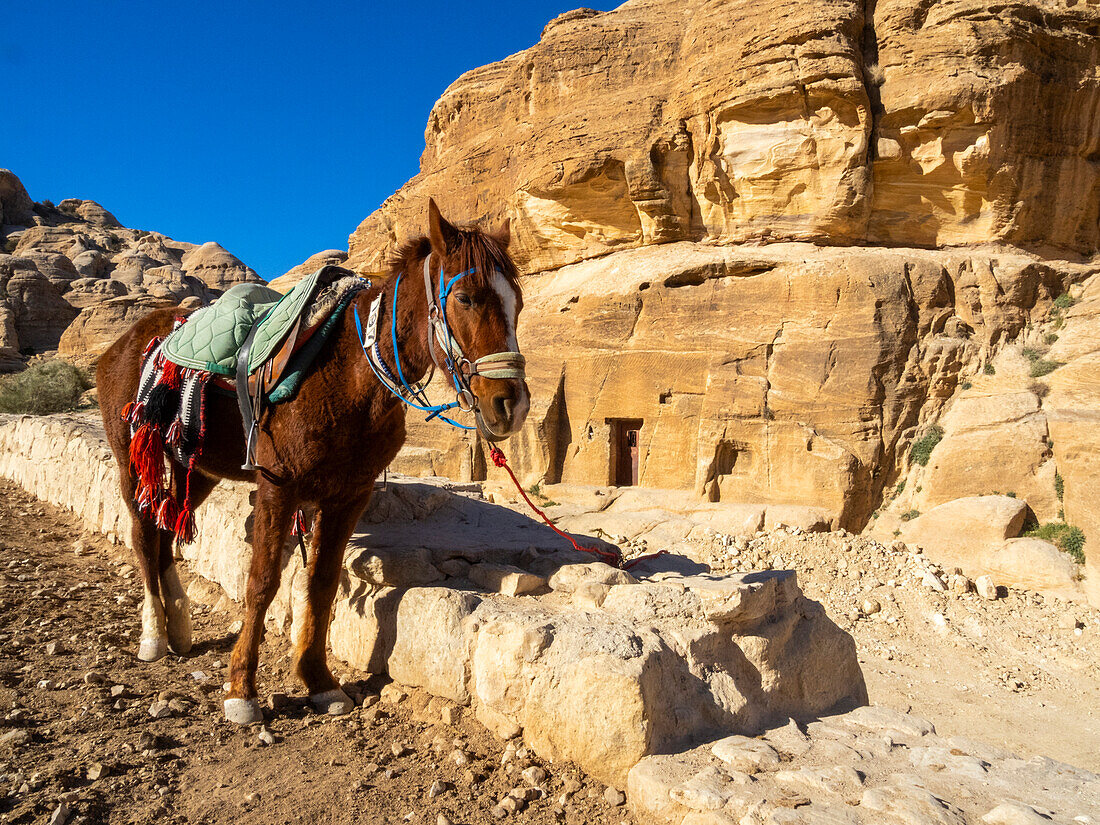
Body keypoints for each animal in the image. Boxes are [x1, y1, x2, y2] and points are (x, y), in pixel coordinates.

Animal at [99, 202, 532, 721]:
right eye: (465, 297)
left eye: (518, 302)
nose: (511, 405)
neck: (351, 375)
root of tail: (128, 340)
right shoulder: (277, 486)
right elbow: (262, 582)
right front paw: (241, 689)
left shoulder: (350, 495)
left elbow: (322, 583)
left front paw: (320, 682)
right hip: (130, 461)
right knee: (144, 536)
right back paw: (154, 634)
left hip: (195, 467)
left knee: (166, 531)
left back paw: (179, 627)